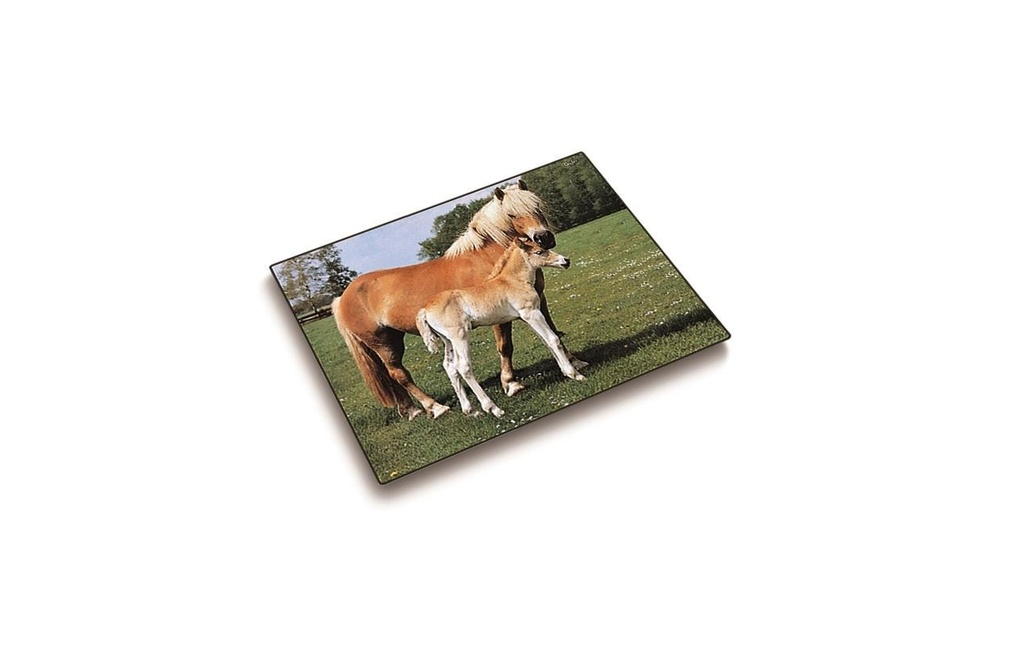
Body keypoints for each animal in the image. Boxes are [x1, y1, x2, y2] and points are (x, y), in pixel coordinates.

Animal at [416, 237, 586, 419]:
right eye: (539, 252)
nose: (565, 261)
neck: (513, 281)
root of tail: (425, 309)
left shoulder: (527, 317)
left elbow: (546, 341)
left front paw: (565, 371)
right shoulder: (531, 313)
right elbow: (554, 339)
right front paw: (574, 374)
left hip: (448, 340)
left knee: (449, 367)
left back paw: (471, 410)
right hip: (460, 335)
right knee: (463, 367)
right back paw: (493, 408)